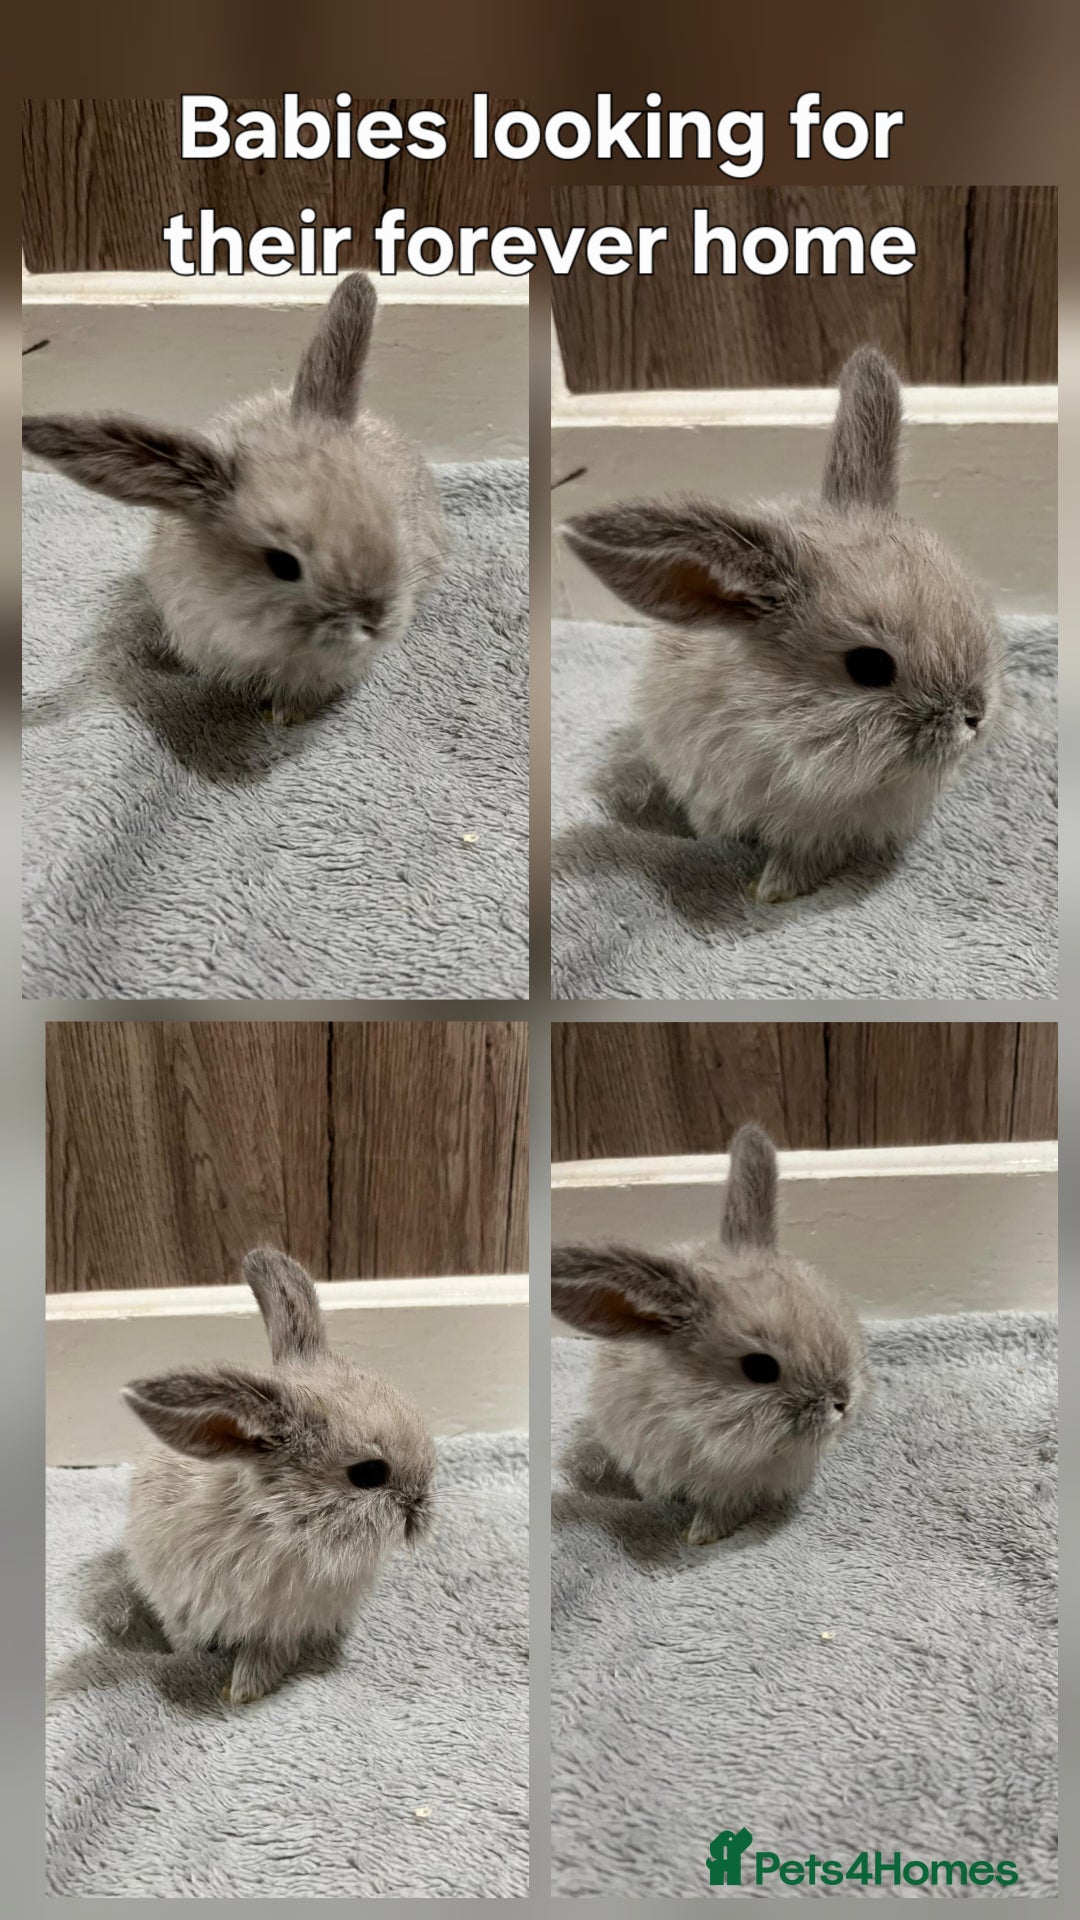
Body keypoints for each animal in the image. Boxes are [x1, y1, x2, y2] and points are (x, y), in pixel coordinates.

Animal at [122, 1246, 437, 1703]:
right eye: (369, 1473)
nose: (423, 1507)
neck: (285, 1523)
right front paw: (229, 1683)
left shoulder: (284, 1622)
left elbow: (270, 1650)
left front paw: (246, 1685)